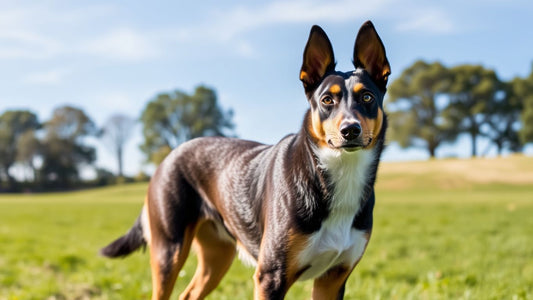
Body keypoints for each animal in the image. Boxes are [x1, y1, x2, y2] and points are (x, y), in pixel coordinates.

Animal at [101, 21, 390, 300]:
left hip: (217, 256)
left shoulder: (333, 279)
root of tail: (171, 155)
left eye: (367, 97)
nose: (350, 130)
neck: (335, 175)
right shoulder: (271, 276)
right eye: (327, 100)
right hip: (168, 251)